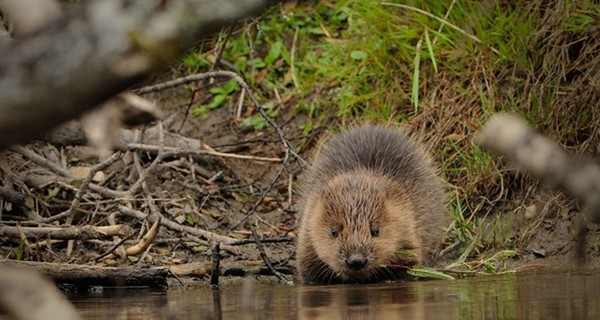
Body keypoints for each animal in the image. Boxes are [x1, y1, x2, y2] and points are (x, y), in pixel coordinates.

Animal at [296, 126, 446, 284]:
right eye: (333, 231)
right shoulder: (308, 233)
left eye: (375, 230)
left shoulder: (407, 227)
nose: (356, 261)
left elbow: (408, 264)